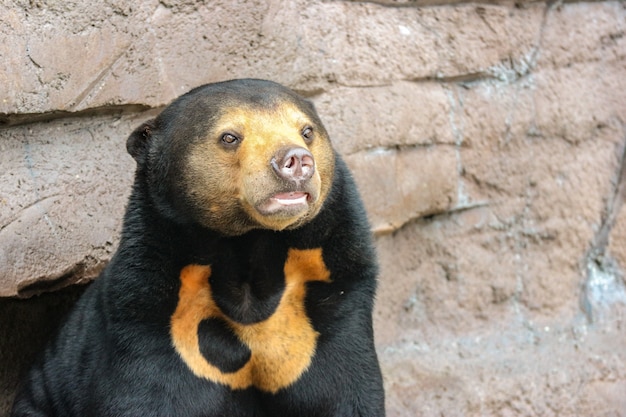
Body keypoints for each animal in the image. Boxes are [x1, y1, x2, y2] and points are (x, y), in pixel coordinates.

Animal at [12, 79, 382, 416]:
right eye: (229, 137)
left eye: (306, 131)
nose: (295, 161)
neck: (249, 248)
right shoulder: (153, 318)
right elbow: (149, 395)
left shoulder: (329, 306)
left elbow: (346, 389)